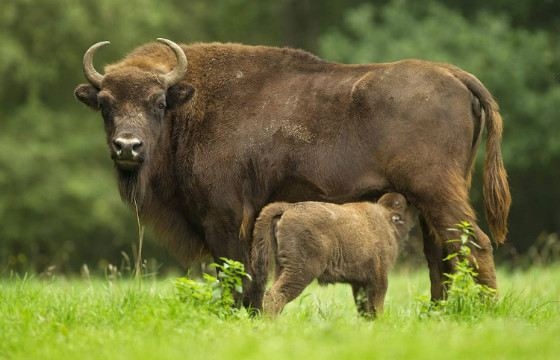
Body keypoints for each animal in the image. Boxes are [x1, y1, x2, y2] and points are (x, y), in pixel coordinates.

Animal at [252, 193, 418, 316]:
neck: (386, 218)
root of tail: (289, 207)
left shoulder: (359, 282)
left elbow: (364, 308)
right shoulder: (379, 277)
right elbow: (376, 306)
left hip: (281, 267)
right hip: (301, 271)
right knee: (275, 295)